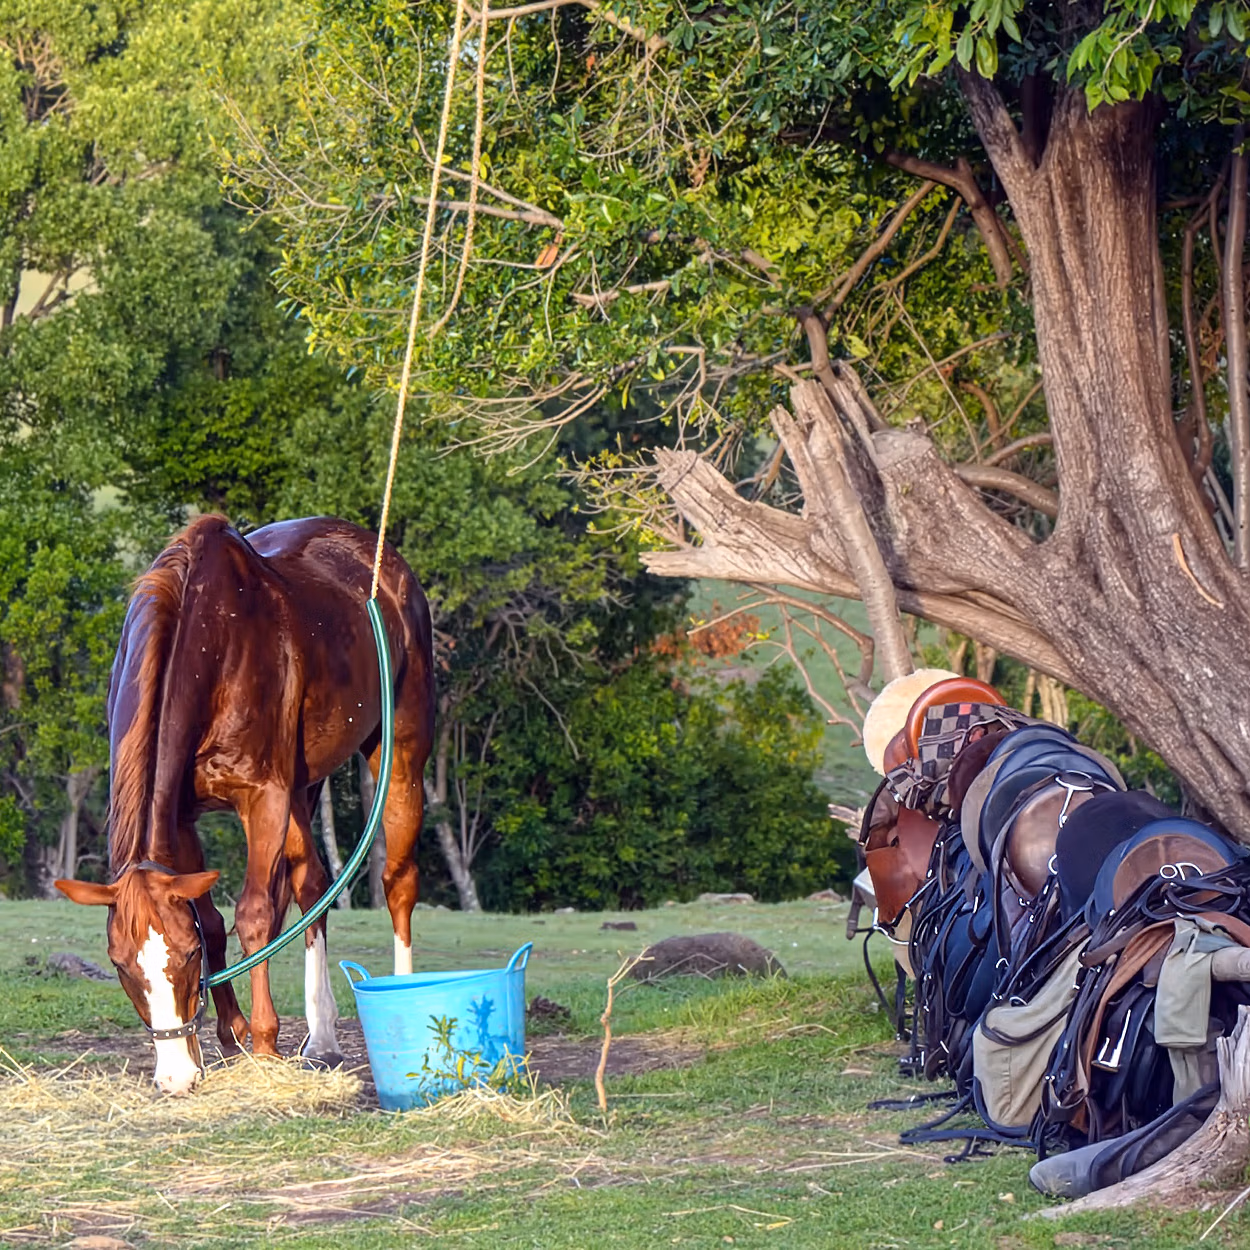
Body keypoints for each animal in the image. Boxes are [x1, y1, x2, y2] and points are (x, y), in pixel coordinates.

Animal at [55, 515, 435, 1093]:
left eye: (187, 957)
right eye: (120, 965)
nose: (176, 1076)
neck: (213, 644)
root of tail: (381, 559)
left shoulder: (265, 798)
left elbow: (252, 916)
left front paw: (263, 1042)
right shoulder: (182, 818)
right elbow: (214, 920)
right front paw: (231, 1037)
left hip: (402, 753)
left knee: (399, 881)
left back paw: (401, 995)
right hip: (303, 789)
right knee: (312, 886)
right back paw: (322, 1037)